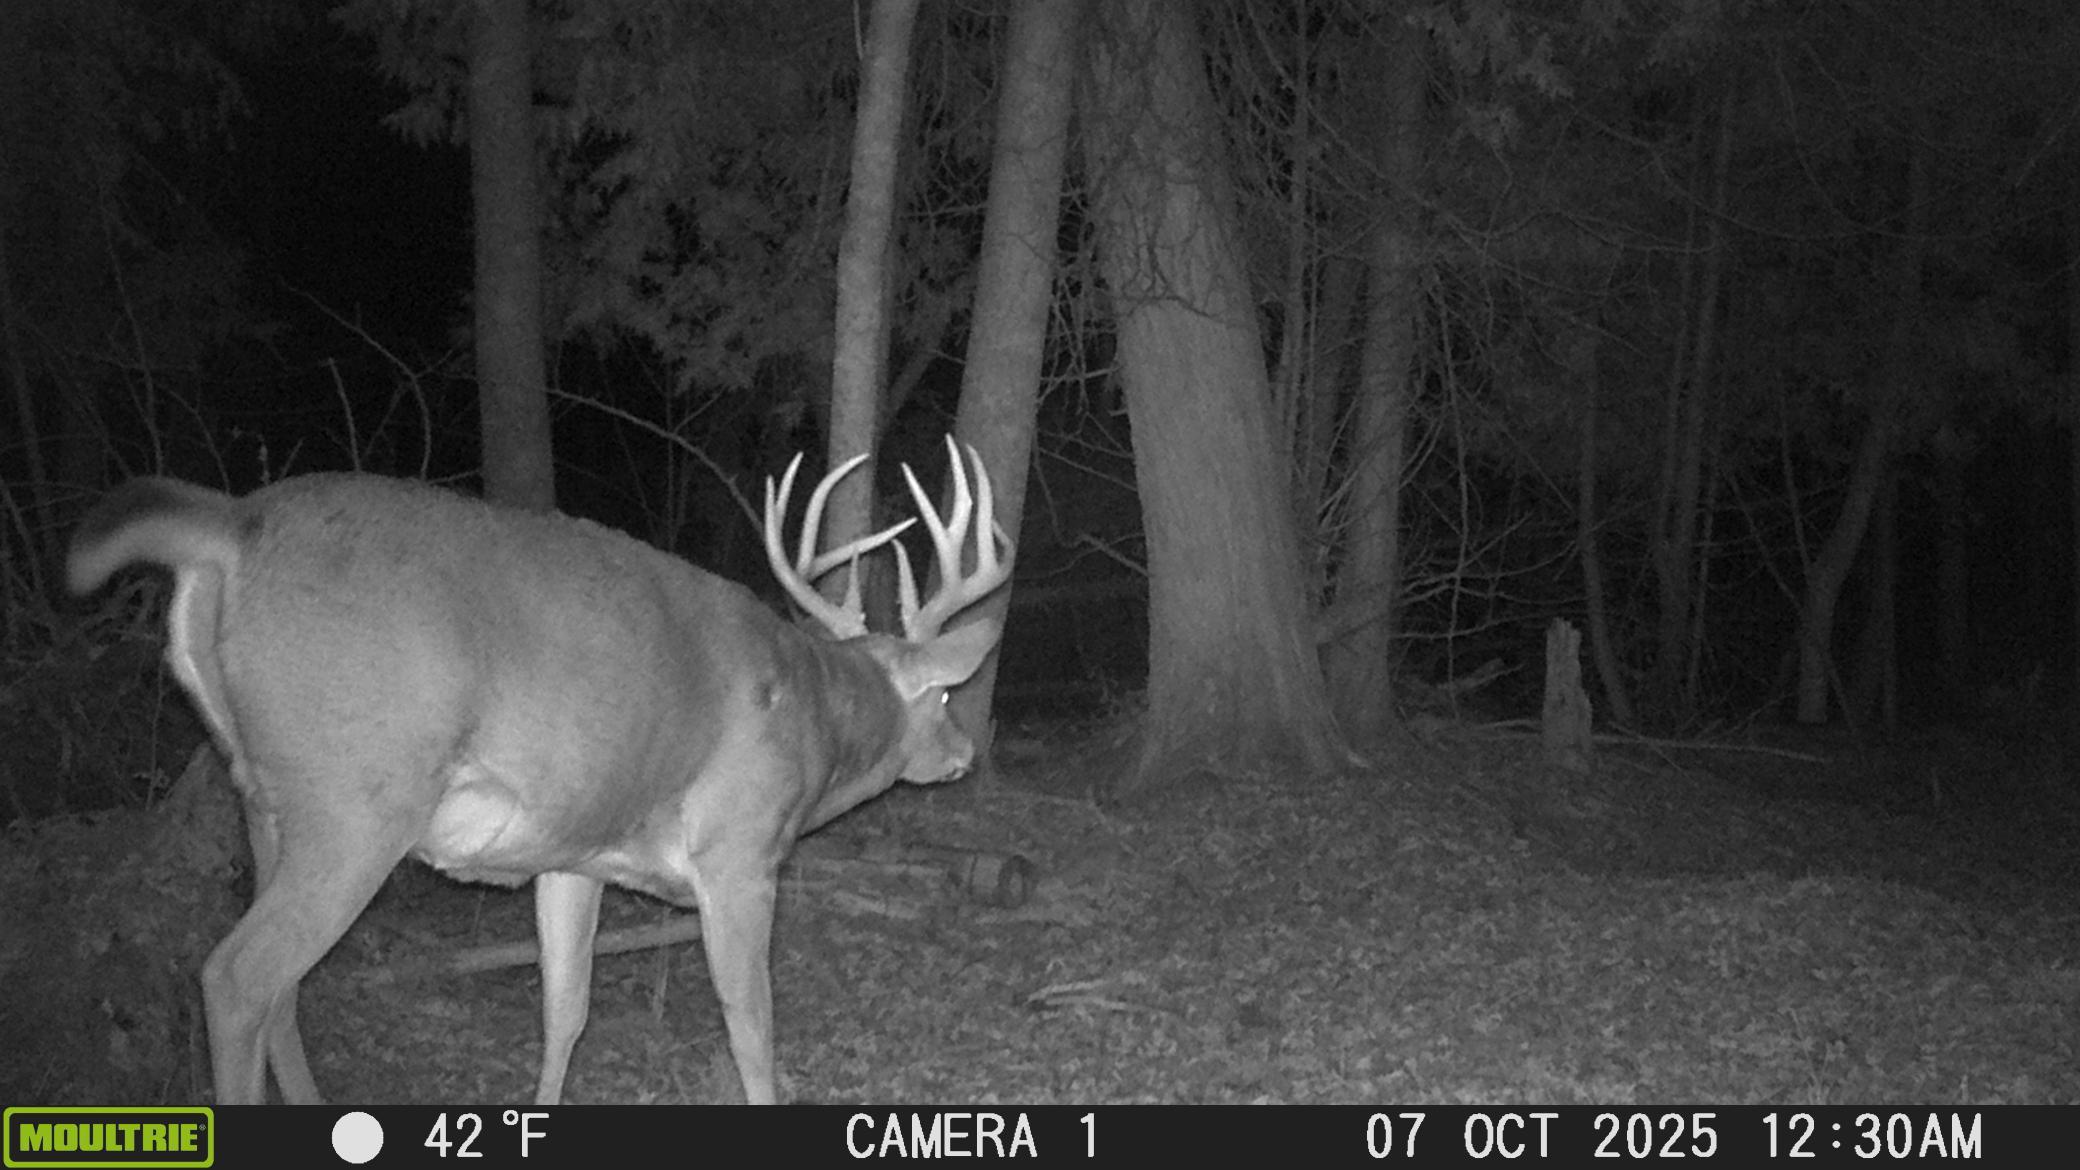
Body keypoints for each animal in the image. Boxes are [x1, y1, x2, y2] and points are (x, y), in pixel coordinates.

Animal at [66, 437, 1013, 1105]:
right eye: (943, 696)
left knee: (283, 992)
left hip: (262, 796)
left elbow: (566, 1011)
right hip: (357, 799)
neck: (816, 716)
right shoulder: (740, 850)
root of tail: (233, 524)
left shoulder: (575, 857)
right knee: (237, 978)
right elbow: (751, 1026)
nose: (965, 755)